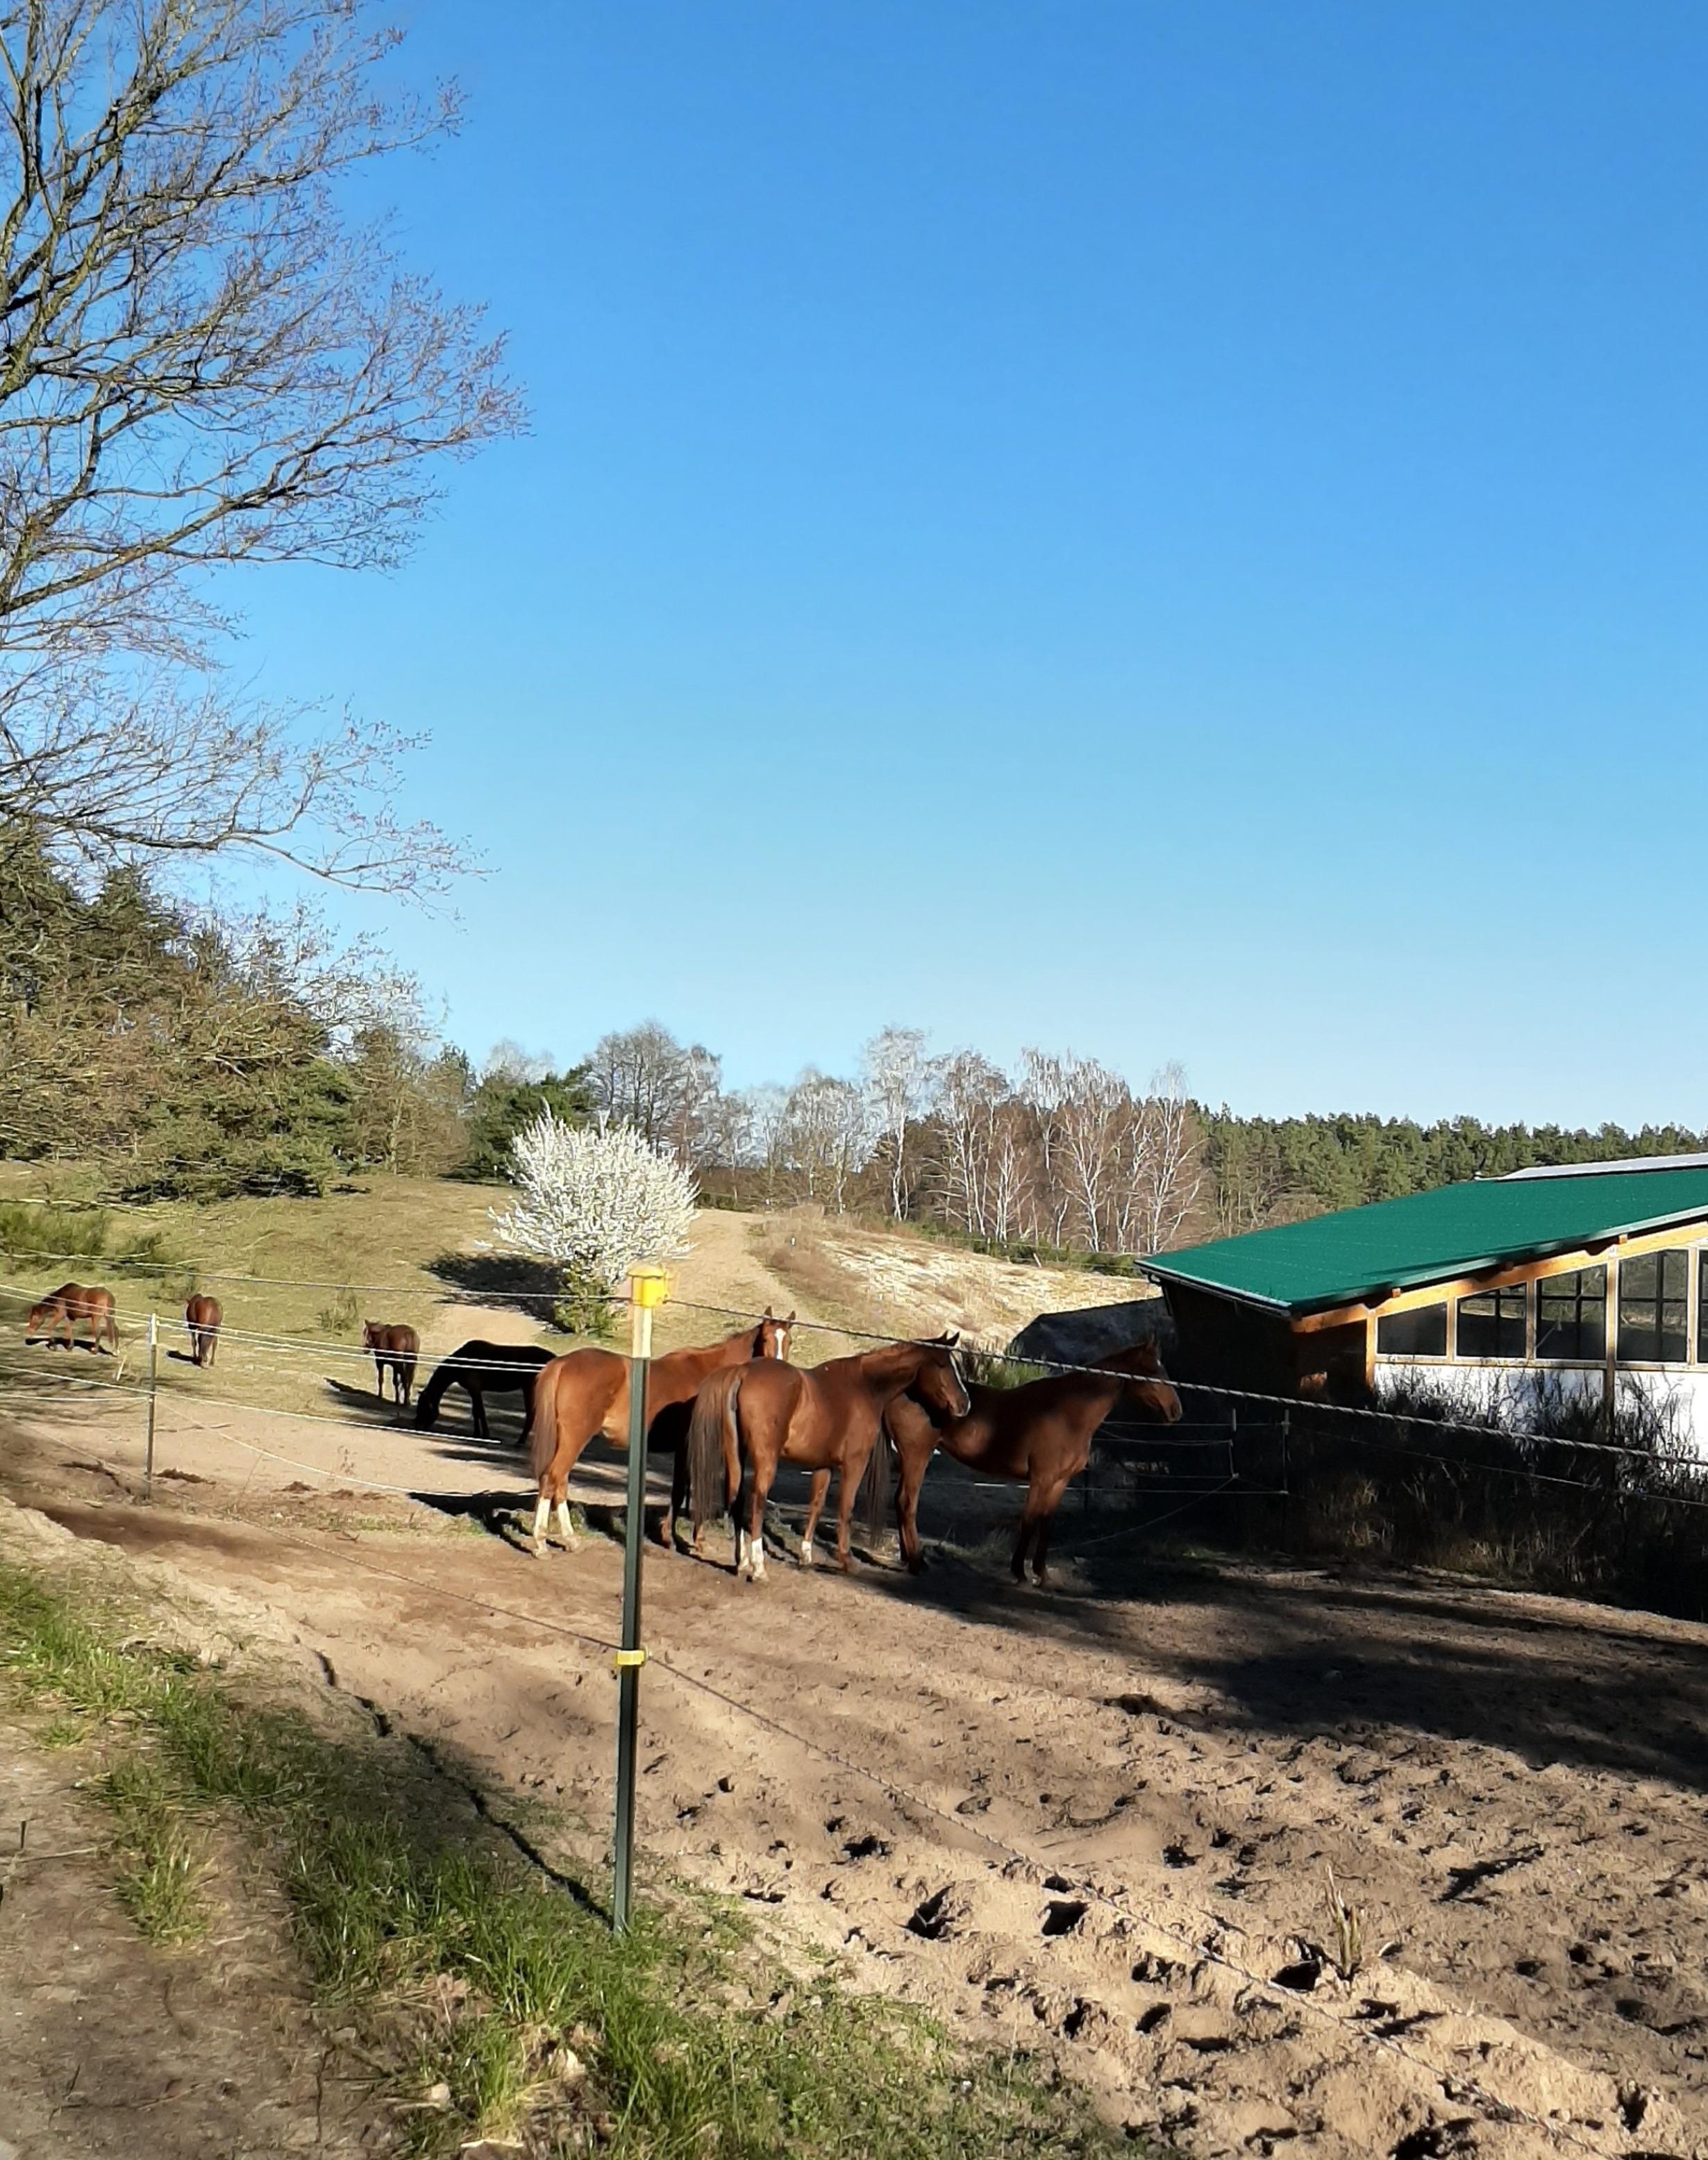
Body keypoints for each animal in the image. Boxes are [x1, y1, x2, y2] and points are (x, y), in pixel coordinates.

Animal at [24, 1282, 117, 1353]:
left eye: (34, 1317)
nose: (29, 1331)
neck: (60, 1296)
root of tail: (108, 1296)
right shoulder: (71, 1317)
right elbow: (69, 1330)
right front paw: (70, 1348)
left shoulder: (61, 1314)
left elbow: (51, 1327)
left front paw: (55, 1347)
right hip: (110, 1316)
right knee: (115, 1330)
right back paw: (116, 1350)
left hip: (96, 1317)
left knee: (98, 1332)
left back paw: (95, 1351)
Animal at [415, 1340, 556, 1439]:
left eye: (423, 1407)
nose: (417, 1425)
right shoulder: (473, 1391)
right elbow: (476, 1411)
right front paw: (477, 1433)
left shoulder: (475, 1389)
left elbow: (481, 1412)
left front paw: (485, 1434)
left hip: (529, 1389)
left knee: (532, 1414)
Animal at [526, 1310, 794, 1555]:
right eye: (766, 1339)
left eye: (789, 1341)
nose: (778, 1367)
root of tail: (562, 1364)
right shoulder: (693, 1447)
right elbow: (688, 1490)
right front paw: (687, 1539)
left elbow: (680, 1490)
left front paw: (671, 1536)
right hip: (574, 1439)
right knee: (552, 1479)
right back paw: (541, 1543)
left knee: (559, 1483)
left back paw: (569, 1540)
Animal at [687, 1334, 970, 1581]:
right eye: (944, 1364)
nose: (964, 1404)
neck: (865, 1387)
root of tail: (743, 1373)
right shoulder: (855, 1464)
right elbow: (846, 1508)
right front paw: (846, 1560)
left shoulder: (822, 1465)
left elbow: (817, 1505)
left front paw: (806, 1557)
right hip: (765, 1461)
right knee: (757, 1501)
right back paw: (758, 1569)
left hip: (736, 1456)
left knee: (736, 1498)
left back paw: (742, 1563)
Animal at [883, 1341, 1182, 1585]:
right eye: (1154, 1372)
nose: (1176, 1411)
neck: (1069, 1414)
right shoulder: (1042, 1478)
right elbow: (1029, 1521)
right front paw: (1020, 1573)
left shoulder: (1060, 1482)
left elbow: (1046, 1524)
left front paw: (1042, 1574)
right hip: (917, 1455)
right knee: (907, 1502)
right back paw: (917, 1563)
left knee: (900, 1501)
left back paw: (908, 1560)